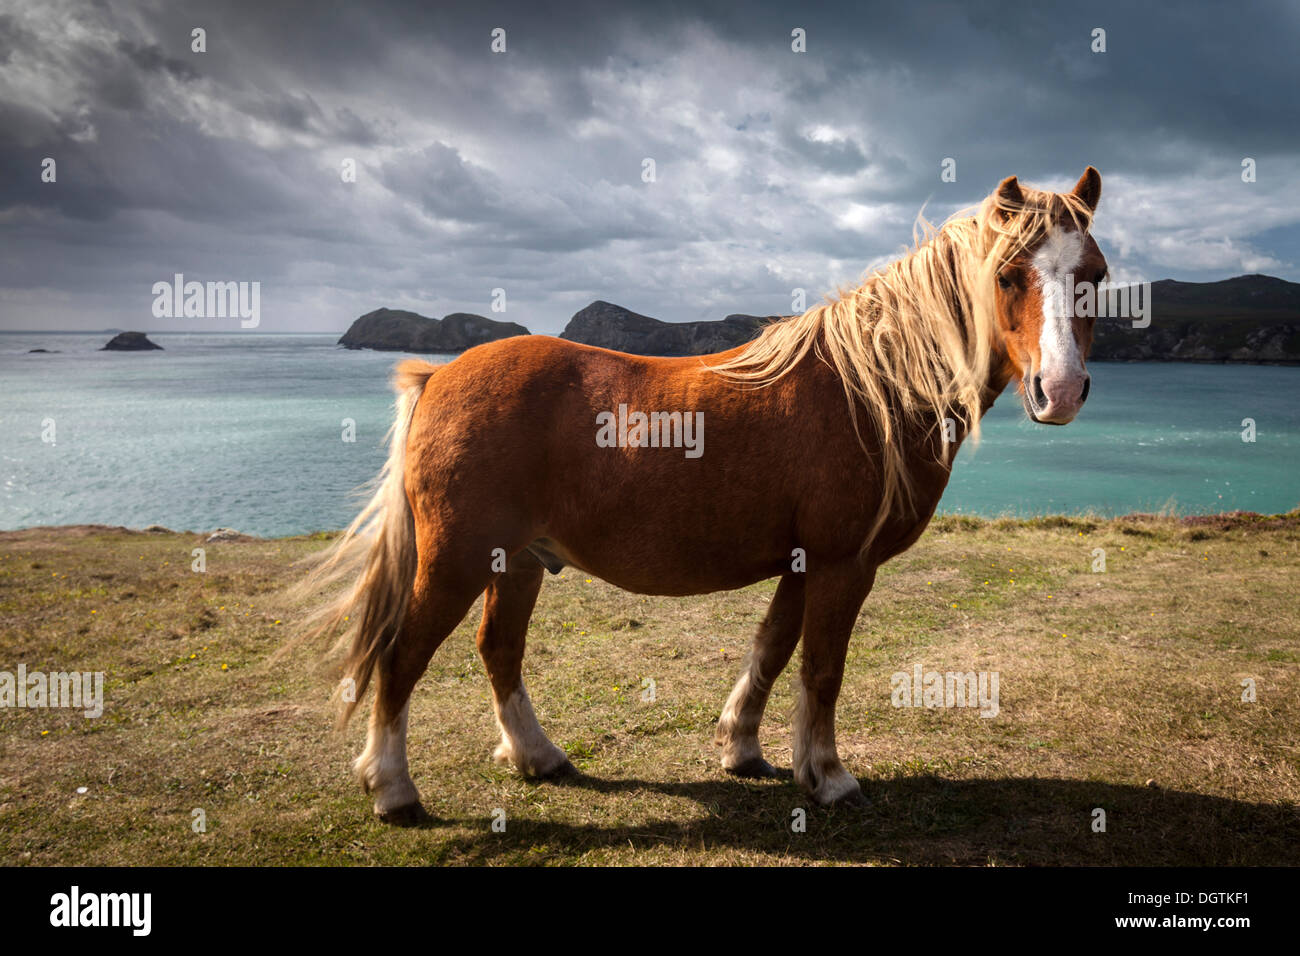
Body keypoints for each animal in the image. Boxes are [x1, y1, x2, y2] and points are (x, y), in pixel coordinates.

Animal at [296, 167, 1107, 821]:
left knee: (498, 650)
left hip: (517, 562)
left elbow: (772, 649)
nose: (1061, 390)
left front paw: (741, 748)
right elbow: (821, 668)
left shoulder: (803, 562)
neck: (872, 389)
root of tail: (441, 375)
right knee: (402, 656)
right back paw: (393, 789)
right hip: (458, 560)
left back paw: (537, 756)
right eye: (1009, 274)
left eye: (1093, 275)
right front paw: (829, 777)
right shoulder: (842, 563)